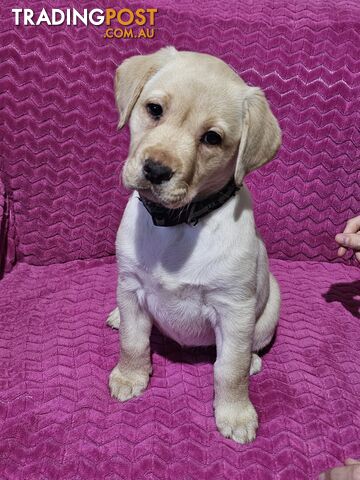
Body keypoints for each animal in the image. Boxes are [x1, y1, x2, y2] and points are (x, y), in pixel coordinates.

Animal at [107, 47, 282, 444]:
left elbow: (229, 369)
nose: (156, 170)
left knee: (247, 350)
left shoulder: (234, 310)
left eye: (212, 138)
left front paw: (235, 414)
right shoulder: (130, 286)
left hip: (267, 313)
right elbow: (132, 341)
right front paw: (130, 376)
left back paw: (254, 361)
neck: (177, 223)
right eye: (154, 109)